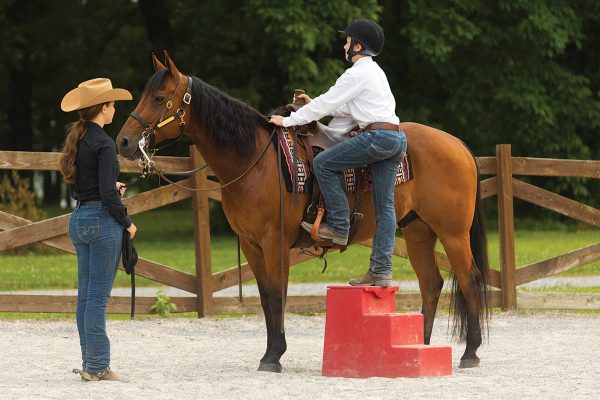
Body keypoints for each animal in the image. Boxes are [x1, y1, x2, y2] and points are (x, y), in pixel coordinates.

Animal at [116, 52, 488, 372]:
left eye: (159, 97)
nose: (123, 142)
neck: (255, 160)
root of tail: (460, 145)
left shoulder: (275, 242)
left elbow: (277, 295)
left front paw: (274, 356)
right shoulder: (251, 245)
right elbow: (265, 297)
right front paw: (269, 353)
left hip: (453, 233)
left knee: (469, 279)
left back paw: (470, 352)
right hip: (418, 231)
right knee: (431, 284)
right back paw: (420, 347)